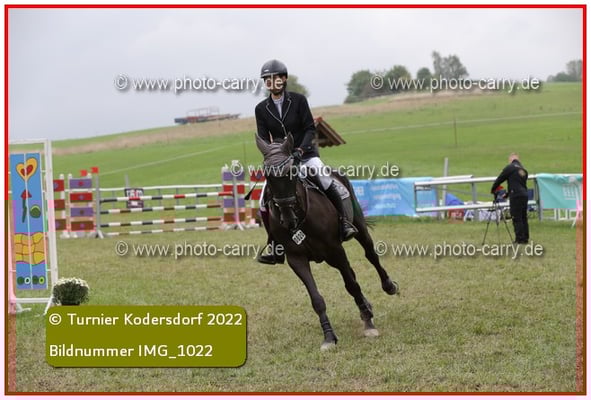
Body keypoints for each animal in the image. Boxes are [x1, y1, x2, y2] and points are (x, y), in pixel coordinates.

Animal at [255, 133, 399, 351]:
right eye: (267, 175)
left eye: (291, 172)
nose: (288, 220)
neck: (301, 216)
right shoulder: (296, 259)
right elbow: (317, 299)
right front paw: (329, 337)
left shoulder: (335, 250)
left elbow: (352, 285)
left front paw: (368, 324)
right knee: (352, 272)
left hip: (358, 230)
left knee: (370, 256)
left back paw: (388, 287)